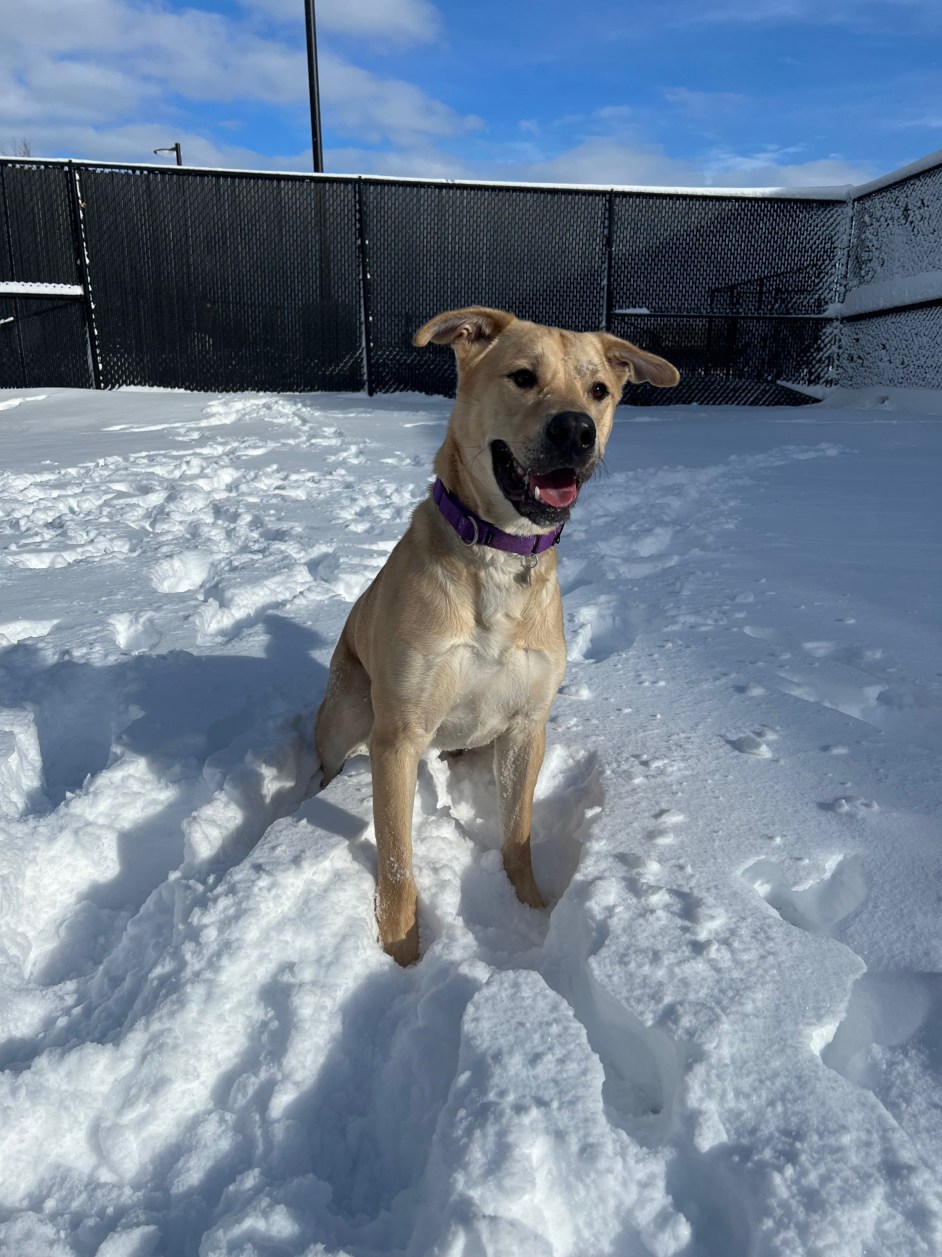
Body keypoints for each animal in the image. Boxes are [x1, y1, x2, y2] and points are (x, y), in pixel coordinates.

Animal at [315, 309, 674, 965]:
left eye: (599, 390)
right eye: (523, 377)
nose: (576, 431)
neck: (500, 554)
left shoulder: (528, 725)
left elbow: (518, 835)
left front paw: (531, 911)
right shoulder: (397, 738)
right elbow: (398, 862)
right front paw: (401, 953)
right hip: (347, 713)